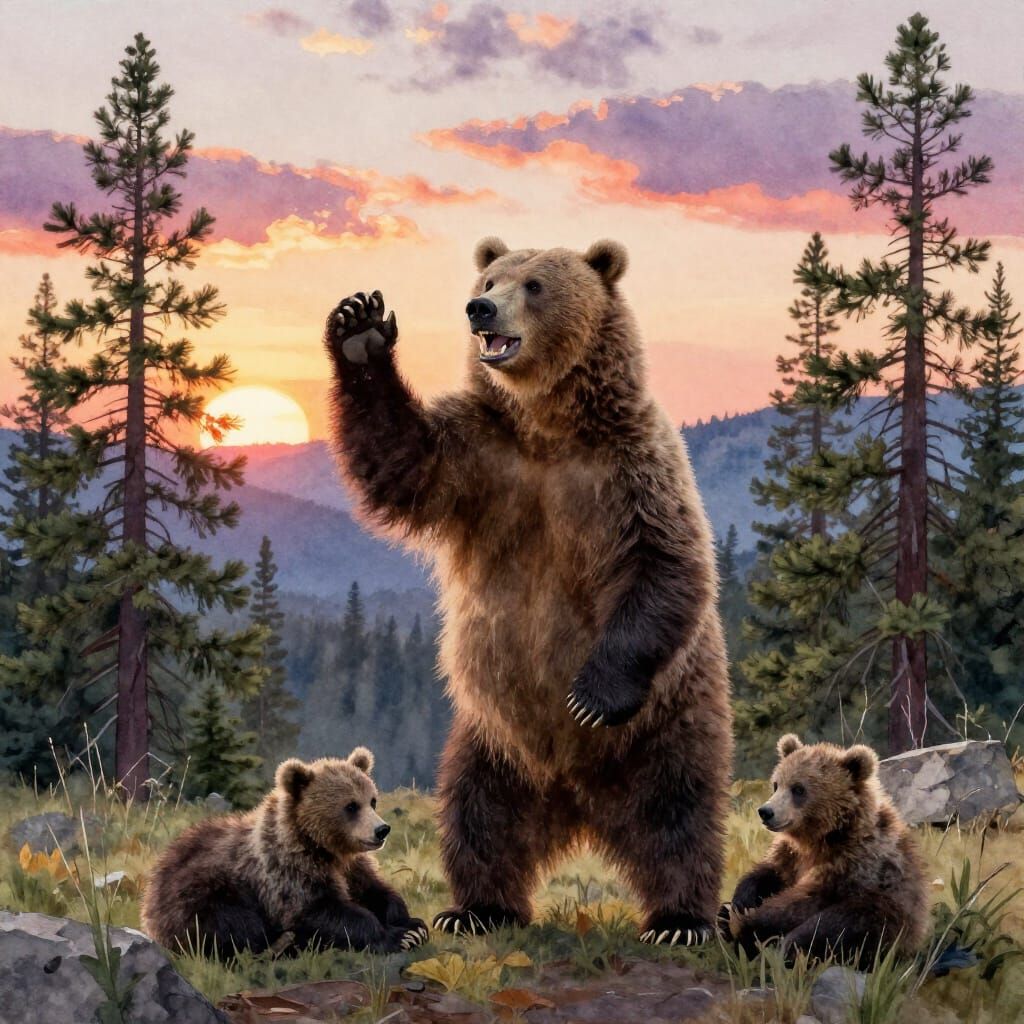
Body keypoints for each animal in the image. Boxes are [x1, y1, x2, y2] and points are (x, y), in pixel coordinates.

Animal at [141, 748, 428, 955]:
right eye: (350, 806)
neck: (323, 846)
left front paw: (412, 924)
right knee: (235, 926)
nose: (381, 830)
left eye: (372, 800)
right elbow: (316, 910)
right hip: (200, 895)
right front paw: (396, 936)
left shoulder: (351, 865)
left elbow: (373, 889)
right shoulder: (285, 869)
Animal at [323, 238, 733, 946]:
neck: (547, 425)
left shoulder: (634, 468)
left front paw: (591, 696)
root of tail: (578, 798)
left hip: (665, 725)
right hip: (491, 738)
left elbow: (667, 560)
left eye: (535, 284)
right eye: (490, 278)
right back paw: (477, 908)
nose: (480, 309)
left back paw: (680, 920)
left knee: (677, 815)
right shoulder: (479, 459)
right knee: (478, 814)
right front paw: (360, 329)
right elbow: (400, 460)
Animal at [723, 734, 930, 966]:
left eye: (798, 789)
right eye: (776, 784)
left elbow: (804, 901)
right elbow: (770, 871)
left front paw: (749, 923)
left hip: (887, 914)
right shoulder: (791, 854)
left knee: (836, 928)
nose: (766, 811)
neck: (821, 836)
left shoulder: (853, 862)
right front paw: (741, 901)